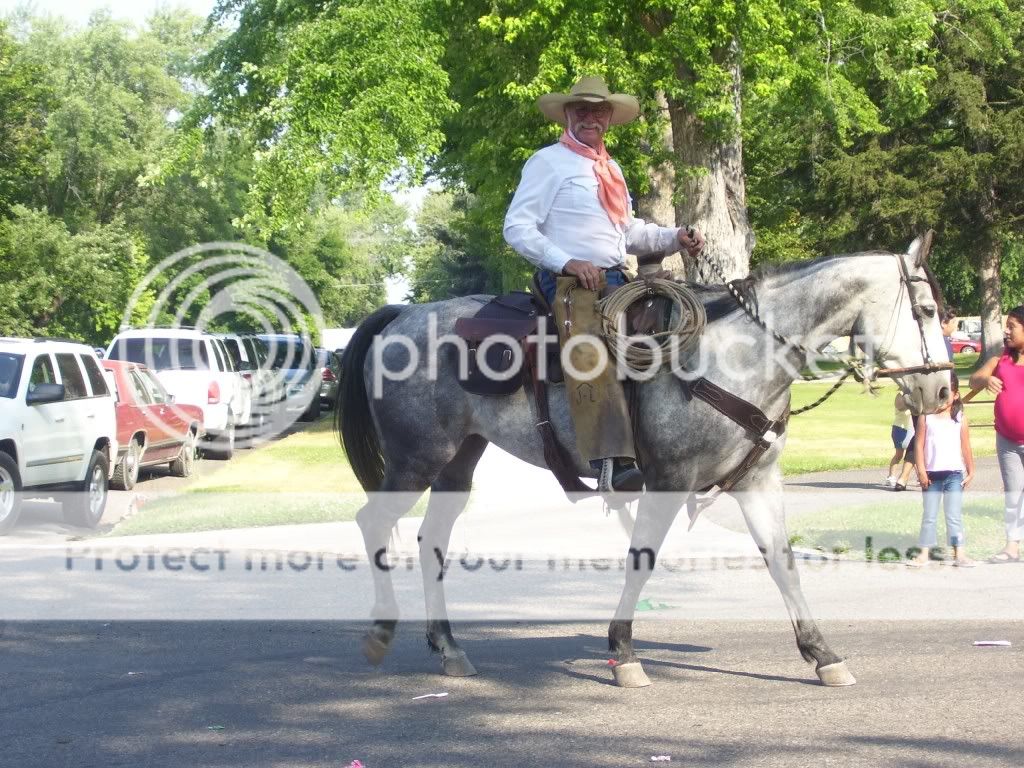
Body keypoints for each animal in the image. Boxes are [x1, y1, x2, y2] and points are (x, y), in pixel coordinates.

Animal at [336, 235, 952, 688]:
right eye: (925, 309)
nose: (943, 391)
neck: (735, 355)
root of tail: (402, 315)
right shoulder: (670, 479)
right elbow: (642, 559)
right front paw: (625, 653)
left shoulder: (757, 480)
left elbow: (782, 562)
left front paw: (823, 654)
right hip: (416, 459)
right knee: (373, 524)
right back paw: (382, 631)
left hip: (458, 462)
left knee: (431, 541)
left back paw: (449, 649)